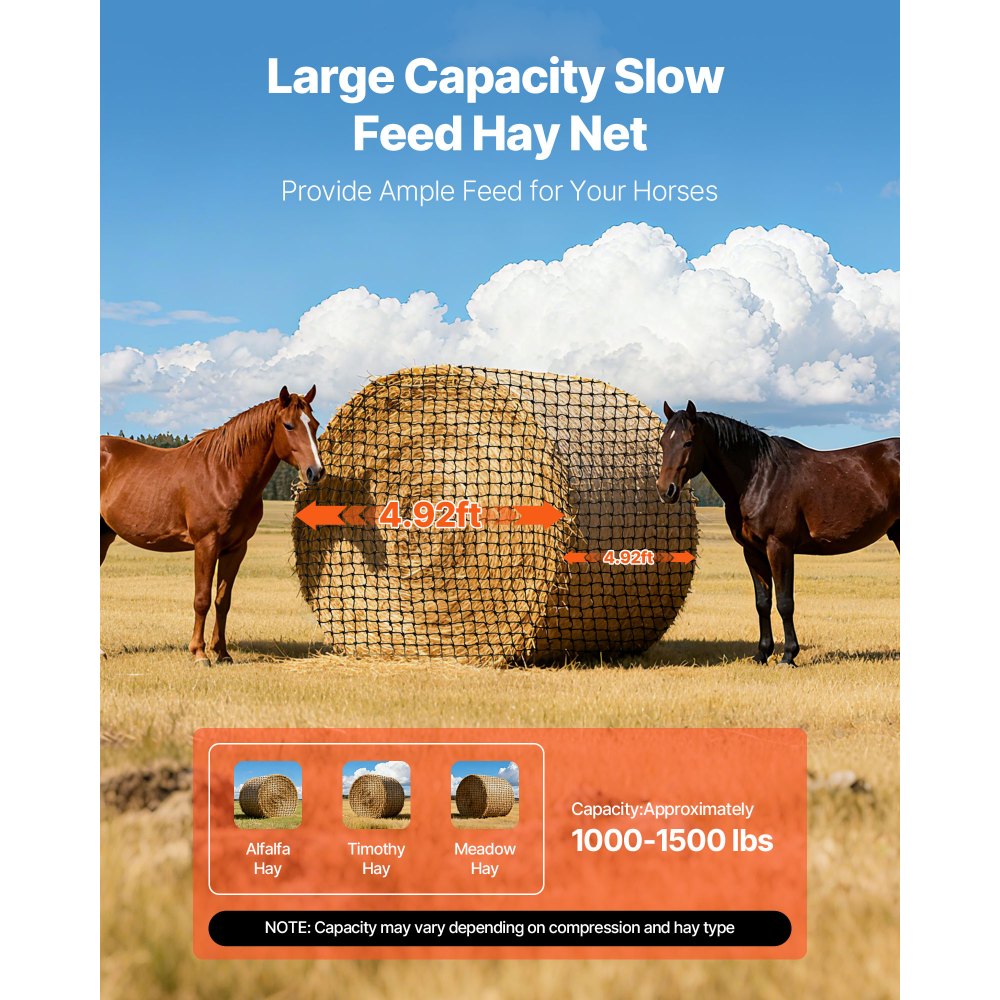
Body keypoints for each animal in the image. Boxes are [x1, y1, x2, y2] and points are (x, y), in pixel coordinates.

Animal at [100, 386, 325, 664]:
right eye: (289, 425)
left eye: (314, 424)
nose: (316, 471)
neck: (223, 474)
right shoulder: (205, 544)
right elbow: (202, 599)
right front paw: (199, 653)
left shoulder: (236, 549)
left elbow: (222, 600)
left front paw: (222, 653)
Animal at [656, 400, 899, 667]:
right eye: (663, 442)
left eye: (688, 442)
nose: (665, 490)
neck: (760, 478)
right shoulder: (752, 551)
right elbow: (763, 602)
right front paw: (762, 653)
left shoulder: (779, 547)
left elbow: (784, 602)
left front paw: (789, 655)